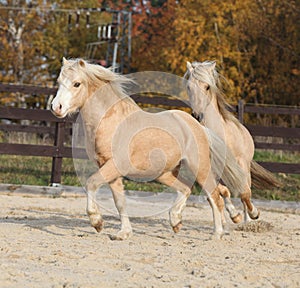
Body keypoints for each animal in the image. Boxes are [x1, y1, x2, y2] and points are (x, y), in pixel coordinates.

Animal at [51, 57, 247, 240]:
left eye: (77, 83)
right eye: (59, 82)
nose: (56, 108)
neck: (111, 122)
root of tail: (198, 126)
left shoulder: (114, 166)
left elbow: (91, 183)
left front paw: (97, 222)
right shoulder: (109, 169)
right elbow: (119, 201)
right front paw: (123, 233)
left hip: (199, 168)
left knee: (214, 196)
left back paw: (217, 233)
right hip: (164, 174)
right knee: (186, 188)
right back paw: (176, 221)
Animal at [184, 60, 280, 223]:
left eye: (207, 86)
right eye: (189, 87)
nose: (197, 116)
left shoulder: (240, 164)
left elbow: (244, 193)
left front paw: (254, 214)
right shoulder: (211, 168)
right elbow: (221, 192)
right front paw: (234, 216)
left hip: (244, 167)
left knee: (245, 190)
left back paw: (248, 219)